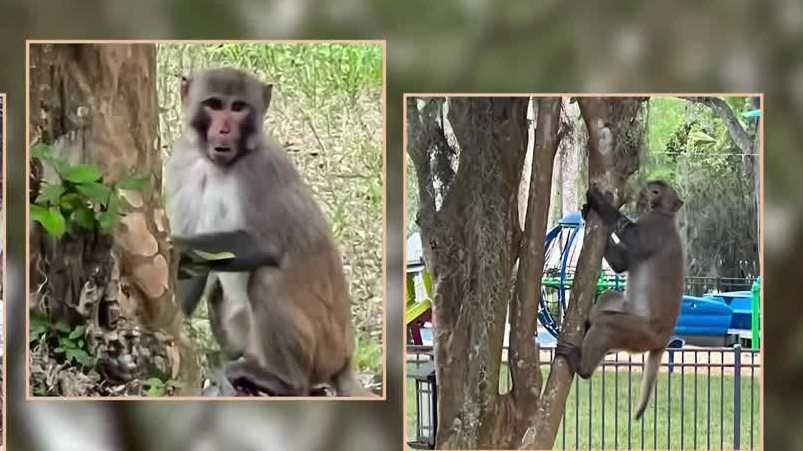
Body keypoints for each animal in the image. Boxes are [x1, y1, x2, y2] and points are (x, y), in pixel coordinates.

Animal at [165, 68, 370, 396]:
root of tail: (345, 358)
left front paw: (176, 244)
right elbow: (192, 272)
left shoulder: (261, 169)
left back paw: (284, 382)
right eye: (214, 104)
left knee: (266, 280)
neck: (219, 165)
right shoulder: (183, 162)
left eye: (238, 107)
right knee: (217, 288)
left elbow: (266, 245)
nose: (224, 130)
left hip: (322, 348)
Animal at [556, 180, 684, 419]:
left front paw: (599, 202)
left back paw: (582, 367)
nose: (646, 192)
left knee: (607, 324)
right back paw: (588, 324)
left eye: (656, 190)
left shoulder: (655, 226)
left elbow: (633, 238)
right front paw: (587, 211)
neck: (664, 214)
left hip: (641, 332)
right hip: (630, 316)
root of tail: (663, 340)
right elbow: (620, 264)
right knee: (607, 299)